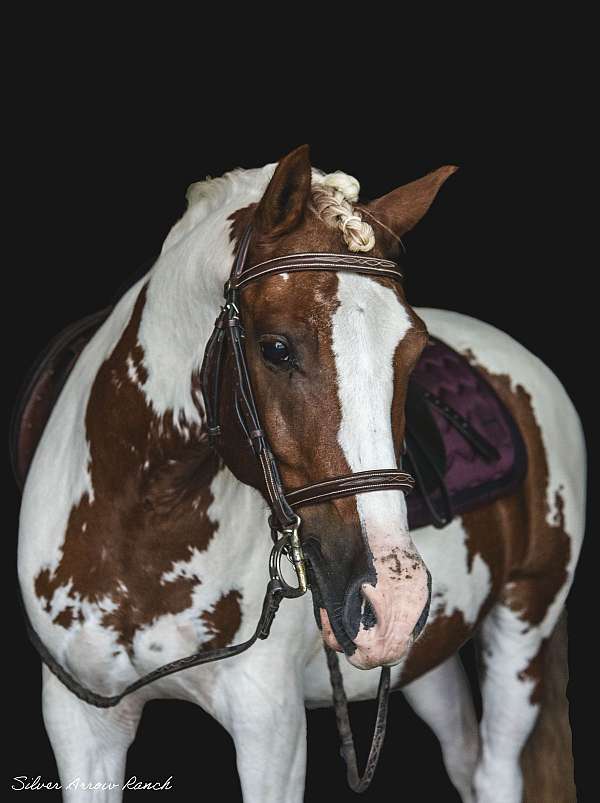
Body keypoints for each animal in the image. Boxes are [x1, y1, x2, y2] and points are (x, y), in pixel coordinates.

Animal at [16, 146, 584, 803]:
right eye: (276, 348)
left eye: (414, 351)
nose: (392, 599)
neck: (142, 526)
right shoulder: (80, 719)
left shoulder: (271, 728)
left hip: (524, 619)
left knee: (494, 769)